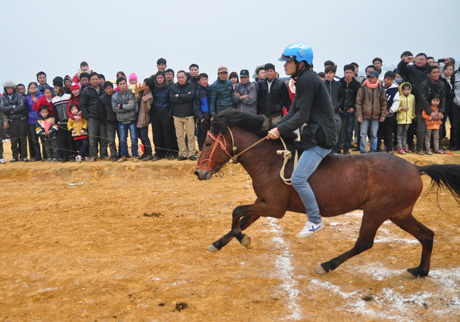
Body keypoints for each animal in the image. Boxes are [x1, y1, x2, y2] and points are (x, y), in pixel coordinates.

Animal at [194, 109, 460, 278]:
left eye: (207, 144)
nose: (198, 172)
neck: (270, 160)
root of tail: (415, 168)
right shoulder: (262, 203)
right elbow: (242, 219)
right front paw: (219, 243)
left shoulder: (274, 208)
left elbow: (236, 212)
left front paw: (242, 239)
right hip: (399, 213)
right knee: (427, 235)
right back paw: (420, 271)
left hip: (377, 212)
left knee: (364, 243)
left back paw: (326, 265)